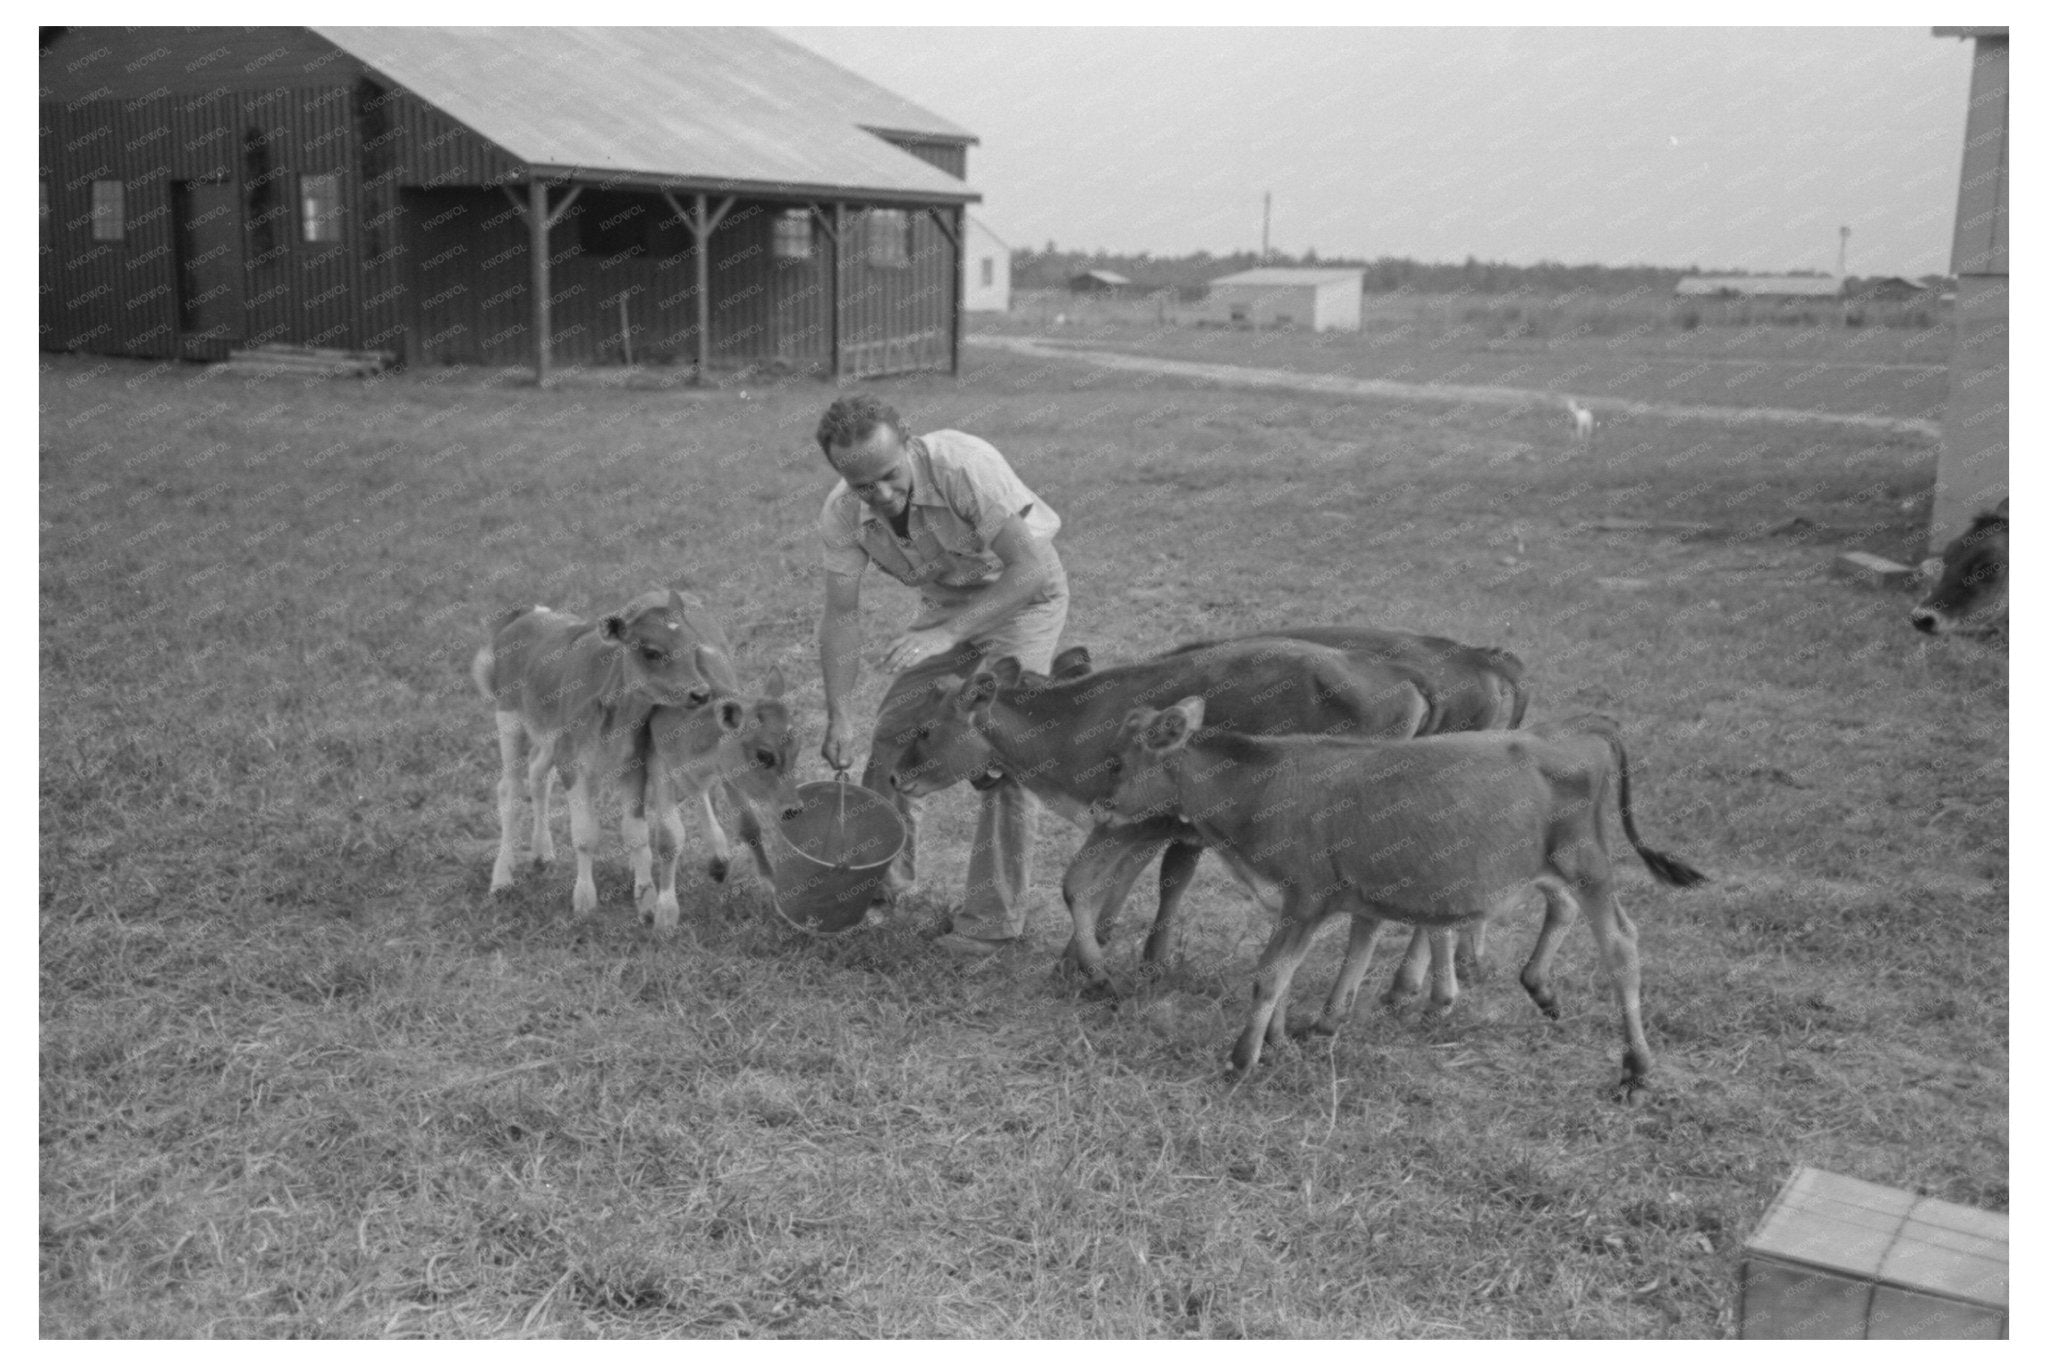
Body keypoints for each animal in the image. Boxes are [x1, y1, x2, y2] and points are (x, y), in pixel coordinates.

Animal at [471, 589, 798, 929]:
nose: (700, 693)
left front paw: (649, 902)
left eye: (693, 645)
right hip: (510, 722)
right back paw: (502, 879)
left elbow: (640, 832)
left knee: (538, 775)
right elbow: (589, 834)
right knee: (510, 790)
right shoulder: (577, 764)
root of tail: (527, 615)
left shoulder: (637, 764)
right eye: (651, 651)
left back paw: (542, 854)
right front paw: (587, 902)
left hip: (547, 741)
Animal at [888, 630, 1531, 995]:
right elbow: (1112, 887)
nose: (895, 776)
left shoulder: (1138, 819)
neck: (1075, 724)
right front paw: (1091, 963)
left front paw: (1095, 973)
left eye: (924, 729)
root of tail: (1406, 677)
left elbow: (1083, 885)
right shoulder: (1136, 823)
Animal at [1097, 704, 1703, 1097]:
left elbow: (1270, 975)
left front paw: (1242, 1060)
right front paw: (1281, 1042)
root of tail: (1571, 728)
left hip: (1588, 864)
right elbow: (1288, 975)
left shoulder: (1306, 898)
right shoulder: (1297, 905)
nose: (1101, 808)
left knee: (1621, 946)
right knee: (1566, 911)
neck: (1259, 788)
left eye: (1117, 764)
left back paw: (1636, 1068)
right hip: (1550, 867)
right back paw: (1542, 988)